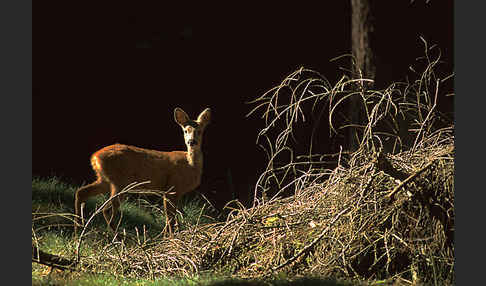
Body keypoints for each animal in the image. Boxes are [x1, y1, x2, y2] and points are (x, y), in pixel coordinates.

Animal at [74, 107, 211, 235]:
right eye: (185, 130)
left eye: (199, 131)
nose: (191, 141)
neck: (190, 165)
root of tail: (94, 157)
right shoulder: (172, 188)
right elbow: (170, 220)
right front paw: (170, 239)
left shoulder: (173, 192)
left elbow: (171, 219)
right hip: (120, 183)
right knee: (106, 210)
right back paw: (119, 238)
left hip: (105, 180)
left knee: (81, 192)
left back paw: (78, 230)